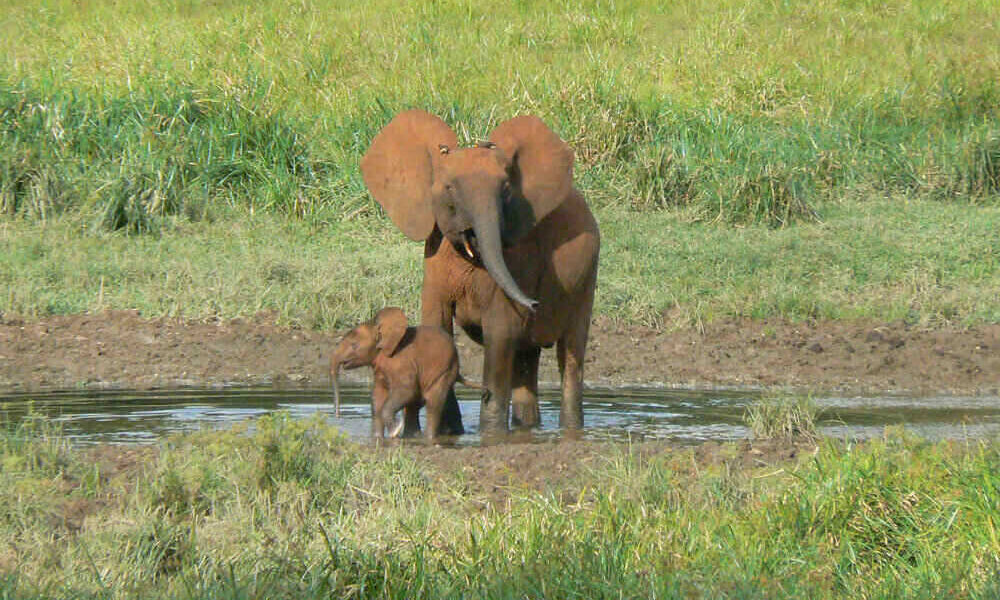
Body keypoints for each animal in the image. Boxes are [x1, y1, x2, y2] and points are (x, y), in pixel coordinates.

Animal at [330, 308, 478, 438]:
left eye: (354, 345)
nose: (337, 417)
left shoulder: (402, 364)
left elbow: (406, 391)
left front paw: (394, 432)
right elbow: (377, 398)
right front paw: (377, 438)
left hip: (444, 371)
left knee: (432, 404)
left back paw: (427, 438)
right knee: (414, 406)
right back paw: (412, 436)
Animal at [360, 110, 596, 434]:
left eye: (506, 190)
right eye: (449, 188)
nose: (535, 303)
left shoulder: (516, 258)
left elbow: (501, 331)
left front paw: (490, 433)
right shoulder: (434, 258)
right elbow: (437, 325)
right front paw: (451, 432)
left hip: (586, 279)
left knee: (570, 355)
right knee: (525, 358)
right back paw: (526, 428)